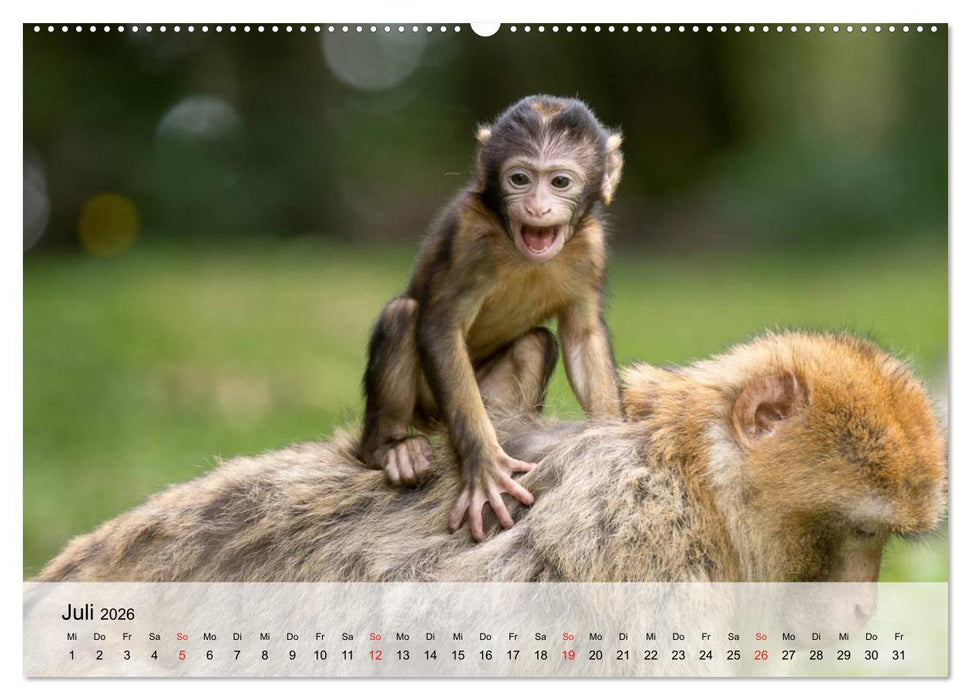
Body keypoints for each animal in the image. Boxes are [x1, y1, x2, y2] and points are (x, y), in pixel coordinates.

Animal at [358, 95, 625, 540]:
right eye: (519, 179)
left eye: (559, 182)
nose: (536, 207)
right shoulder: (470, 238)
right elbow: (440, 327)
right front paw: (484, 467)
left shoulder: (592, 247)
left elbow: (582, 336)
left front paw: (610, 441)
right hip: (428, 409)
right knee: (403, 315)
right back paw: (390, 449)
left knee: (536, 343)